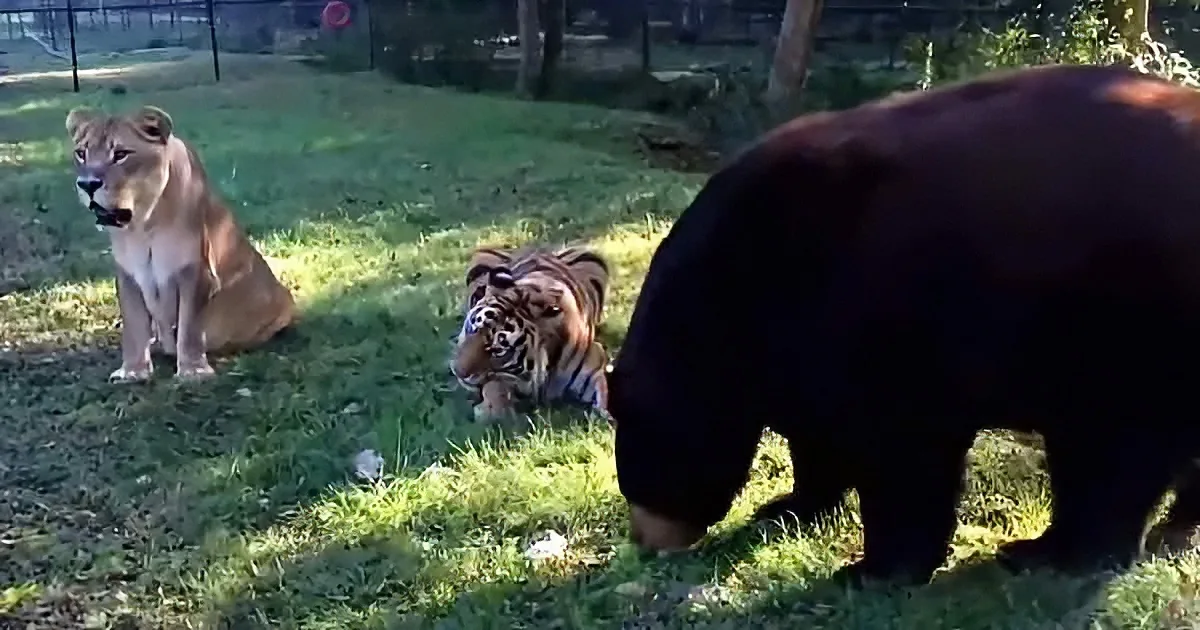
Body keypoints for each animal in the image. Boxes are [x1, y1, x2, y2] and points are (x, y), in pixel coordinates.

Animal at [66, 105, 296, 383]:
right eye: (81, 153)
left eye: (120, 154)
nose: (87, 184)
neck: (143, 225)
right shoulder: (128, 274)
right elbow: (134, 326)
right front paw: (133, 371)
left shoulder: (195, 271)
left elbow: (189, 326)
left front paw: (193, 370)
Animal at [449, 244, 613, 424]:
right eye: (473, 328)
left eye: (498, 351)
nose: (458, 372)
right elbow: (494, 387)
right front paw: (490, 412)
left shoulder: (593, 365)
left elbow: (603, 391)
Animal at [607, 62, 1200, 588]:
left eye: (640, 465)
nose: (644, 541)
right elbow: (818, 430)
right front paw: (787, 506)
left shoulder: (884, 317)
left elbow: (902, 452)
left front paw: (873, 570)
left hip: (1127, 320)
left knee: (1111, 446)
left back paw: (1059, 551)